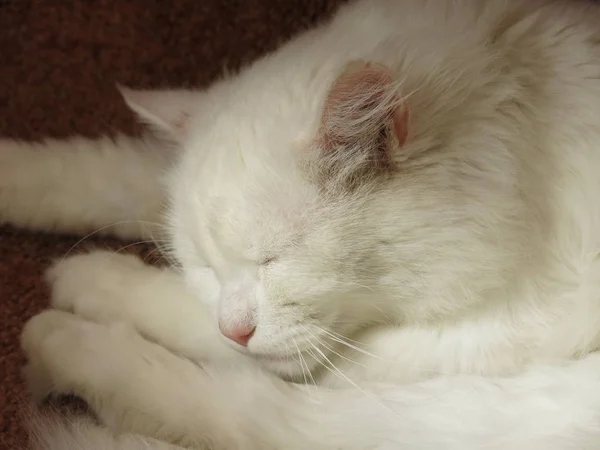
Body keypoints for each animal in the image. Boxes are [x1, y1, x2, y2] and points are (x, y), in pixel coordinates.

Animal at [5, 0, 600, 448]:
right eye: (206, 268)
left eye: (273, 261)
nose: (236, 329)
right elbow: (118, 173)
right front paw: (18, 176)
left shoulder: (478, 334)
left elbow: (192, 322)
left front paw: (98, 283)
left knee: (262, 418)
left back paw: (66, 346)